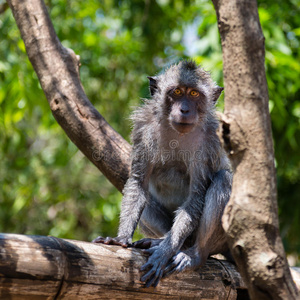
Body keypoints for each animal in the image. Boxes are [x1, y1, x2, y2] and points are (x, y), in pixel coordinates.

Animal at [92, 59, 233, 288]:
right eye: (176, 91)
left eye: (194, 94)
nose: (184, 109)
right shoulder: (143, 129)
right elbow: (138, 183)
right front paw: (120, 239)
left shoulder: (210, 140)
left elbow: (196, 195)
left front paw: (166, 251)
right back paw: (161, 240)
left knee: (223, 180)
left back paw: (194, 254)